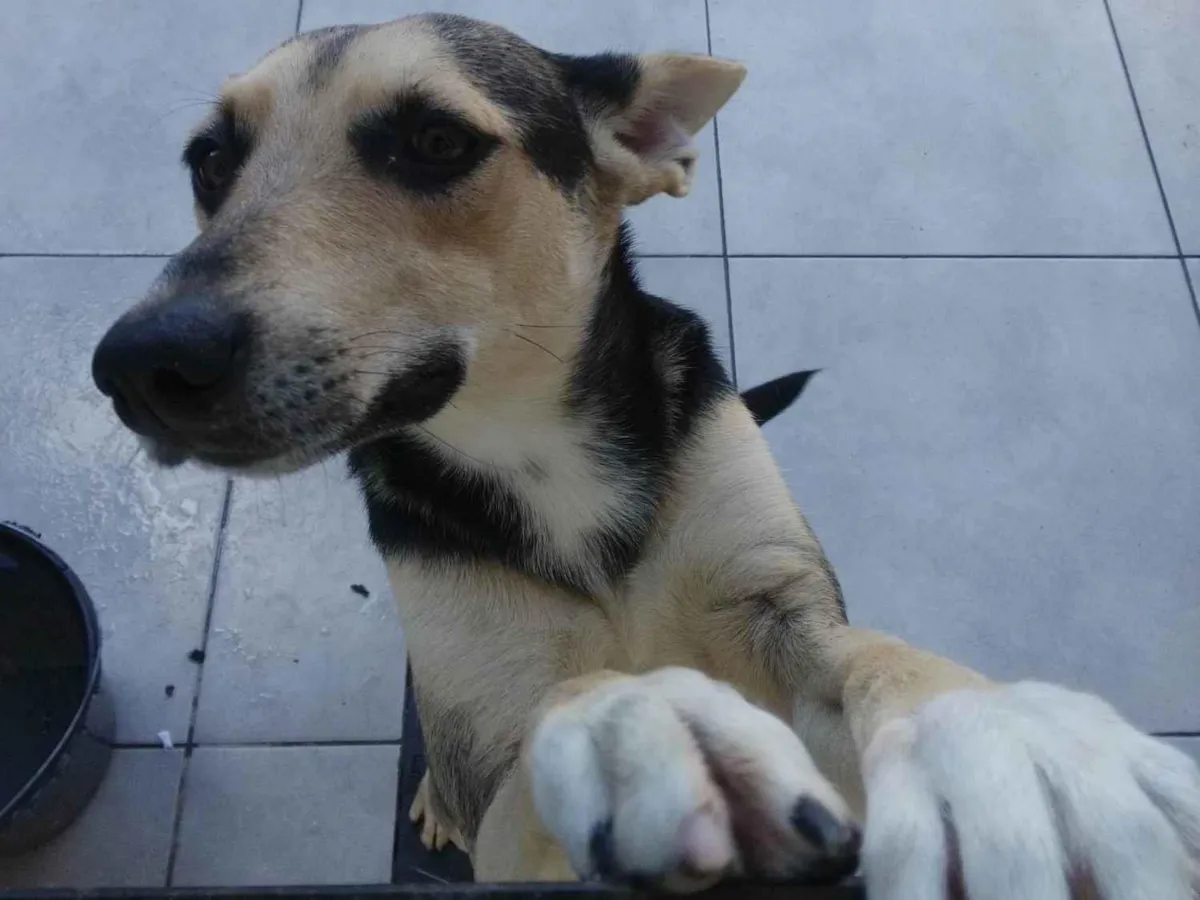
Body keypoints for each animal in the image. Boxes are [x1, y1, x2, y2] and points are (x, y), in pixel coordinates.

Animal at [91, 14, 1199, 897]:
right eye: (210, 162)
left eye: (436, 141)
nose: (142, 364)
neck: (536, 449)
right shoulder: (499, 765)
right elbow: (555, 718)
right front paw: (630, 727)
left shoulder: (775, 605)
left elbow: (881, 660)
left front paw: (1013, 751)